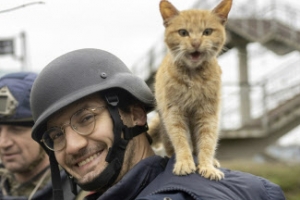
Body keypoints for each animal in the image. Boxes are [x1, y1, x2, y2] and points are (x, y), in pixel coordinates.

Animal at [149, 0, 232, 180]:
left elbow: (207, 142)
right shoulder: (174, 113)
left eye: (207, 32)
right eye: (183, 33)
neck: (193, 78)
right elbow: (181, 140)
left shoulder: (208, 114)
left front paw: (207, 166)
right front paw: (184, 163)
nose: (195, 43)